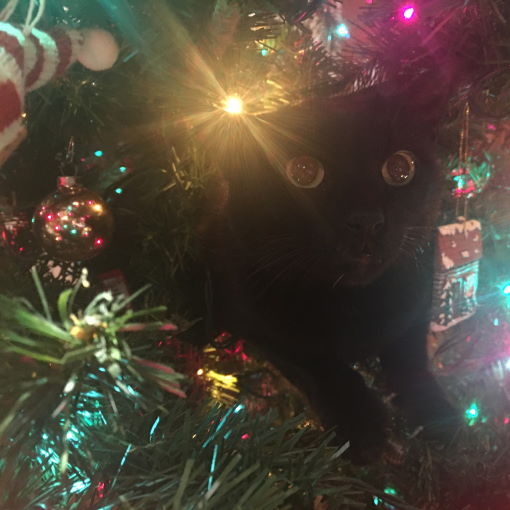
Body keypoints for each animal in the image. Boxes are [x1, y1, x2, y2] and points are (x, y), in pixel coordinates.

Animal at [201, 86, 460, 462]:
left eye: (400, 168)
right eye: (303, 171)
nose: (367, 219)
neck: (354, 303)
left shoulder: (416, 302)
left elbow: (410, 359)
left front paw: (436, 413)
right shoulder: (253, 321)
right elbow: (321, 365)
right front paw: (363, 427)